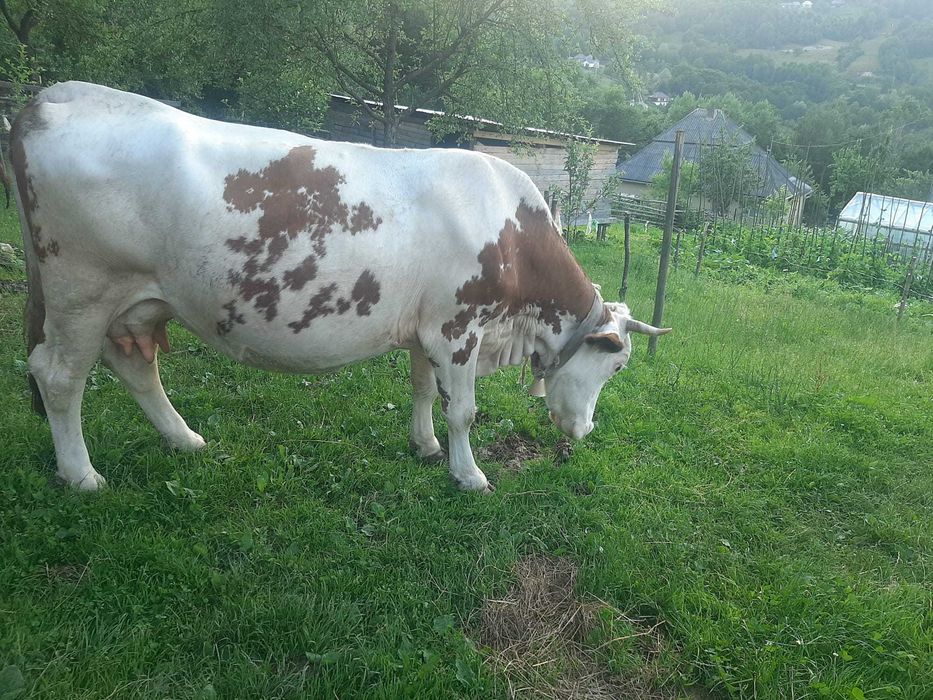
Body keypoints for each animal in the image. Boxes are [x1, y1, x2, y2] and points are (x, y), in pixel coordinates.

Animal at [12, 81, 670, 494]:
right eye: (616, 367)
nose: (584, 433)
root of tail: (58, 95)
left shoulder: (426, 327)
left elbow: (423, 390)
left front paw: (425, 447)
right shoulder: (458, 326)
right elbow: (463, 410)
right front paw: (469, 475)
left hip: (136, 300)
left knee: (134, 366)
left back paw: (185, 439)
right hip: (80, 290)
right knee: (58, 377)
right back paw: (82, 476)